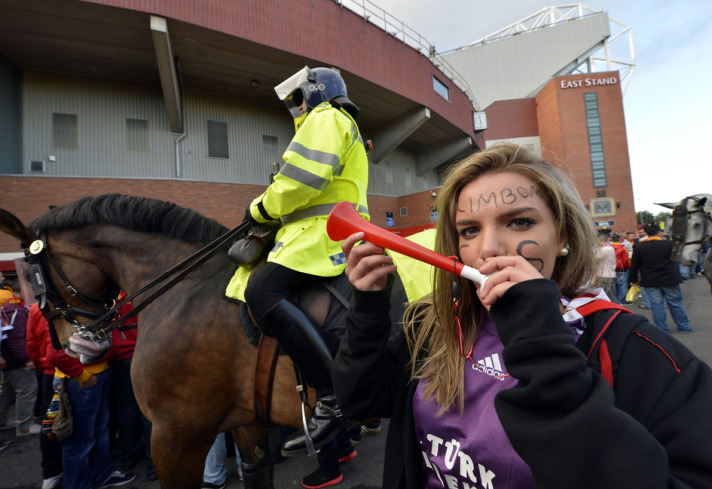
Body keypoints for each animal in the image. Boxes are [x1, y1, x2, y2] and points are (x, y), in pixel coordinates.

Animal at [0, 193, 340, 488]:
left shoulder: (175, 434)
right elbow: (256, 471)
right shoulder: (245, 419)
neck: (190, 290)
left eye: (34, 275)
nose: (71, 346)